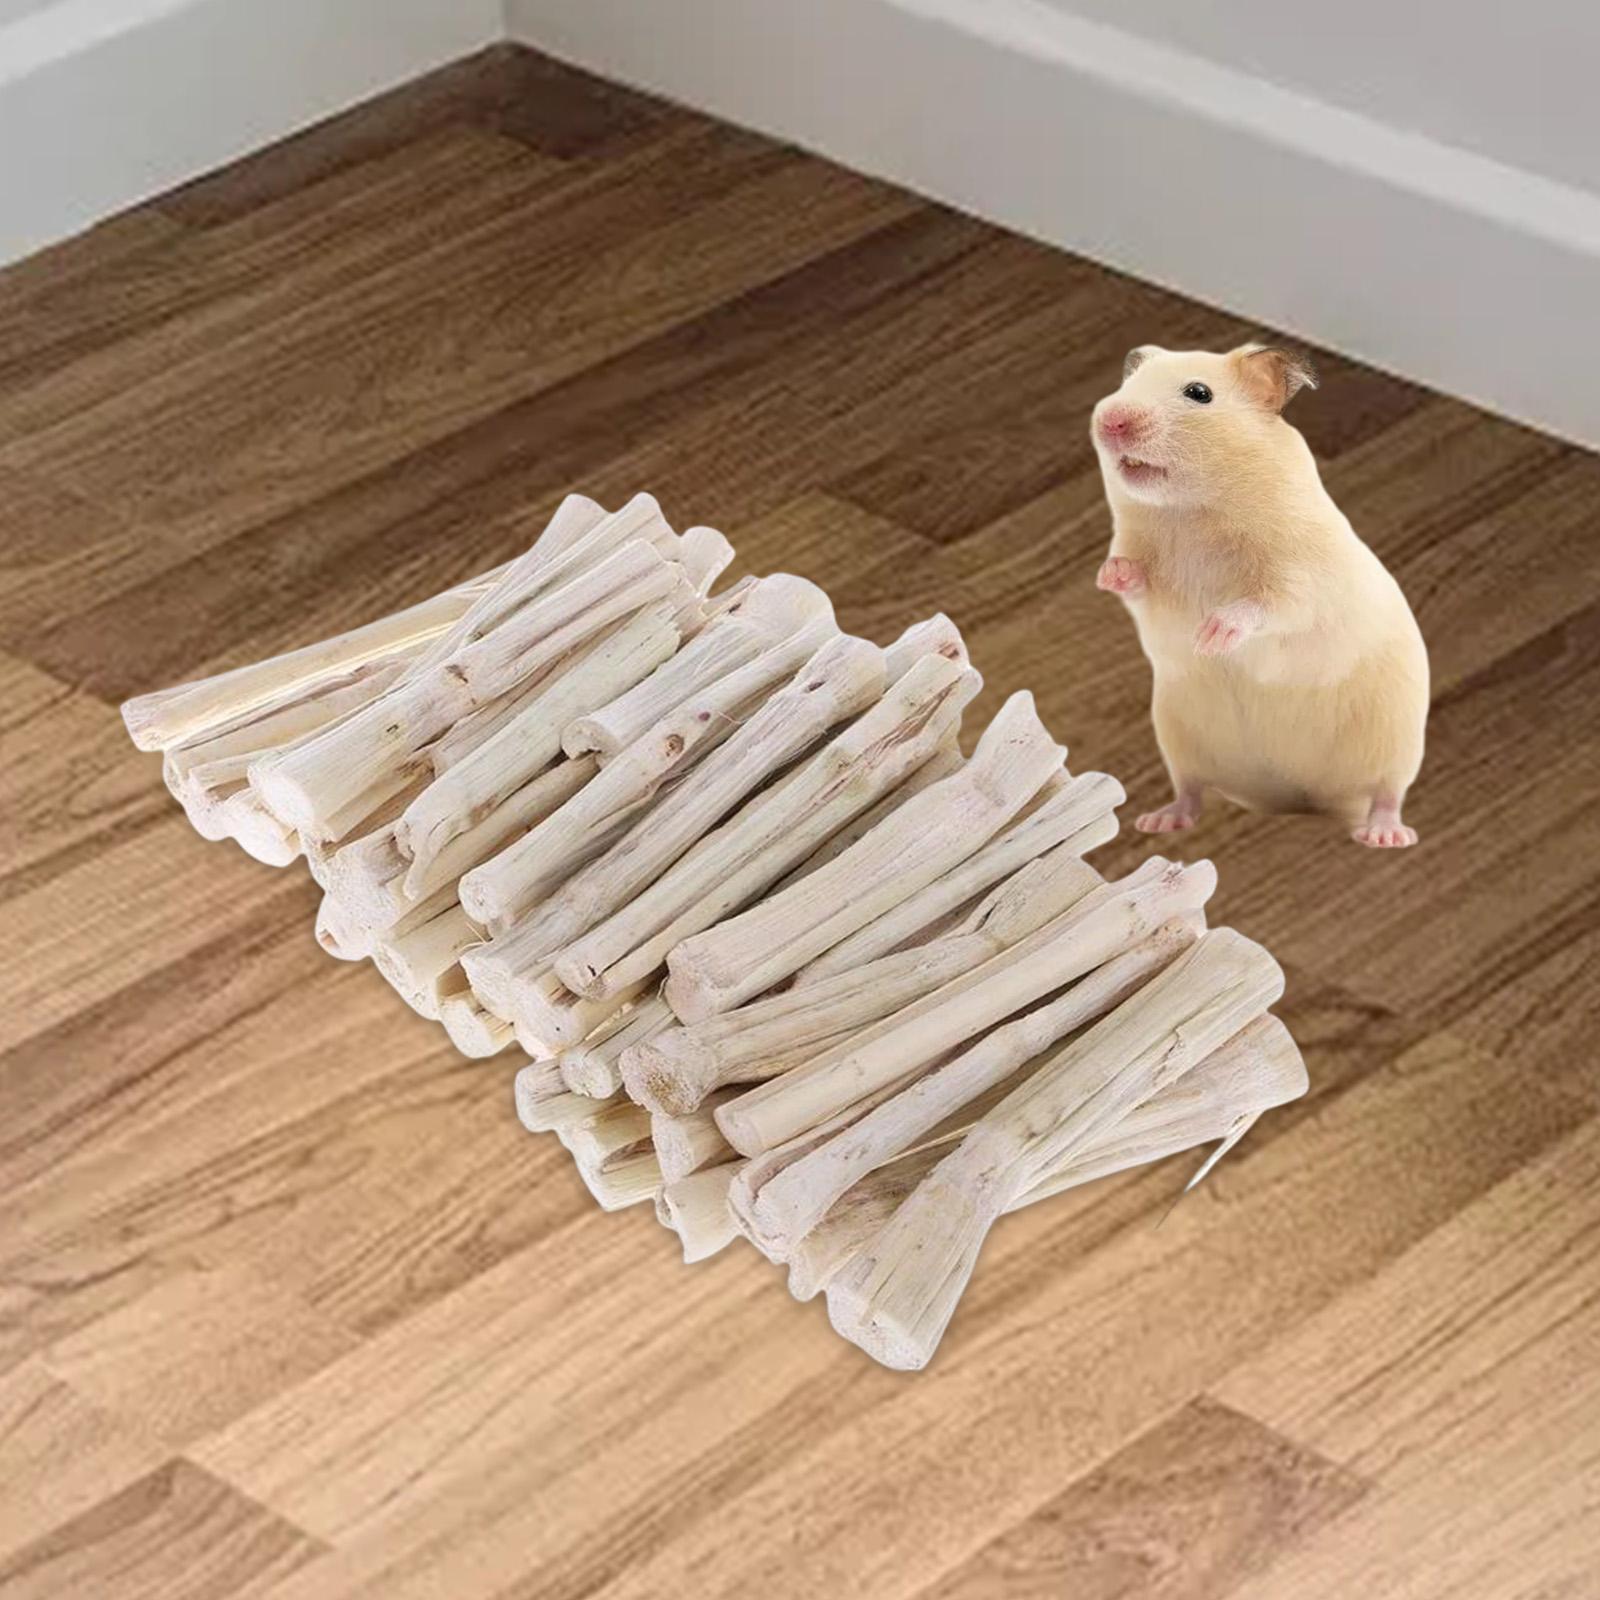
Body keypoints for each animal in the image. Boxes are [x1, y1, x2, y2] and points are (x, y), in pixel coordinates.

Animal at [1090, 342, 1428, 848]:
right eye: (1127, 383)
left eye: (1198, 393)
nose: (1109, 419)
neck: (1191, 510)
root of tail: (1295, 799)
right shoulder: (1149, 579)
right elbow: (1135, 580)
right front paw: (1107, 574)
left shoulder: (1300, 577)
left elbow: (1267, 605)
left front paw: (1211, 635)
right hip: (1178, 736)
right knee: (1190, 791)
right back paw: (1160, 820)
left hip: (1396, 739)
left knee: (1387, 794)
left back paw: (1385, 836)